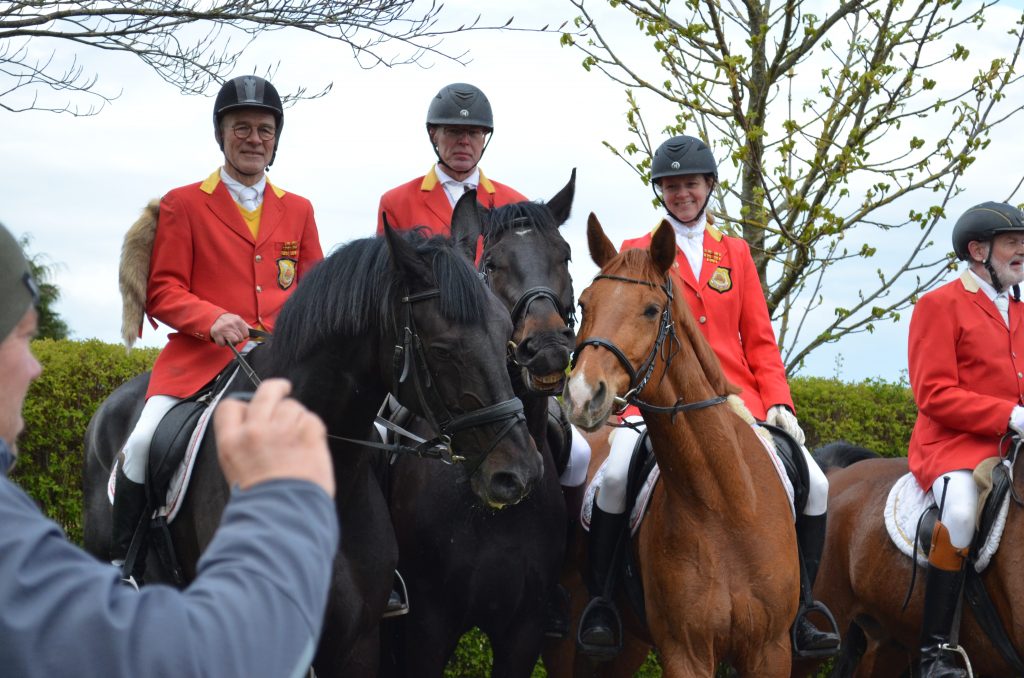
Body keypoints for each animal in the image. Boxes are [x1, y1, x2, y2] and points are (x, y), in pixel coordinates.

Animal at [561, 216, 798, 678]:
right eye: (584, 303)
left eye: (652, 310)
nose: (581, 396)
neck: (723, 504)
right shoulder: (684, 651)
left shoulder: (771, 650)